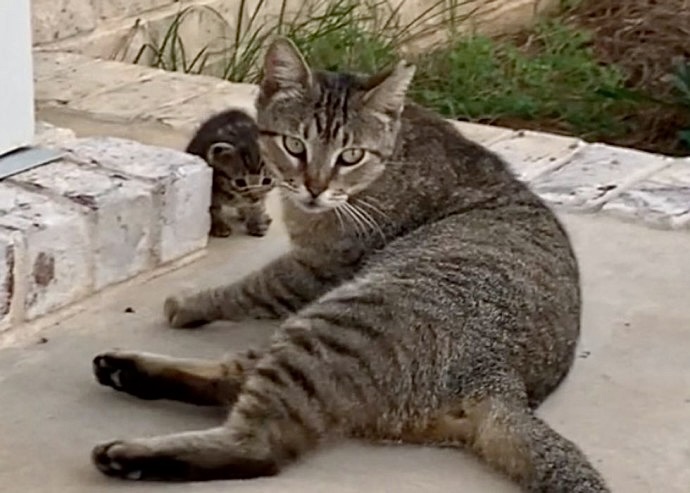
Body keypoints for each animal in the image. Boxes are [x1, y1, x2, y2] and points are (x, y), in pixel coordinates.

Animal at [187, 108, 276, 238]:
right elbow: (213, 207)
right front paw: (219, 226)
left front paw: (257, 221)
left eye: (266, 180)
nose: (254, 198)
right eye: (240, 182)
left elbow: (258, 205)